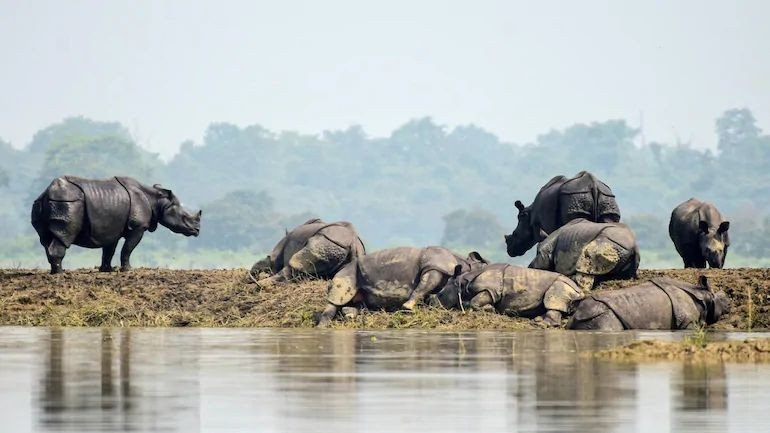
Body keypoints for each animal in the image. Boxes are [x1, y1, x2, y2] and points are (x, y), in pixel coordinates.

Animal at [31, 176, 201, 274]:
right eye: (185, 217)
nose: (197, 230)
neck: (157, 201)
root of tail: (47, 192)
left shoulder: (111, 228)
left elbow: (109, 250)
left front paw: (106, 270)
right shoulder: (138, 227)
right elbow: (128, 248)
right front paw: (128, 270)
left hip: (43, 203)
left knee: (46, 239)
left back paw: (55, 272)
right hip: (68, 203)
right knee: (64, 234)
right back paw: (61, 273)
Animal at [317, 247, 488, 327]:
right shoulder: (435, 266)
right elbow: (424, 285)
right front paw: (408, 307)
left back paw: (349, 314)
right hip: (348, 271)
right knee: (338, 296)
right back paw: (323, 325)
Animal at [427, 263, 584, 326]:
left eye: (441, 294)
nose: (431, 306)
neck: (463, 282)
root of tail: (580, 292)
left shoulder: (490, 290)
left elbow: (475, 301)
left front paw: (490, 309)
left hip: (562, 284)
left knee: (553, 297)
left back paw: (540, 323)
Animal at [567, 276, 731, 331]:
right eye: (723, 300)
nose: (730, 304)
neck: (703, 296)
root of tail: (576, 313)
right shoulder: (687, 322)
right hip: (602, 314)